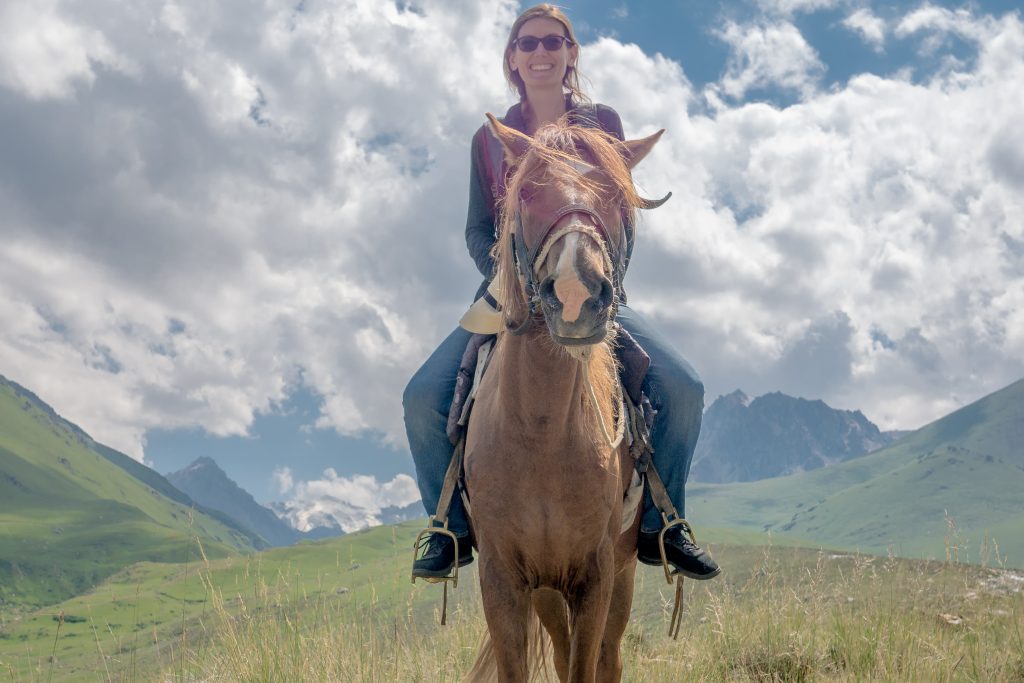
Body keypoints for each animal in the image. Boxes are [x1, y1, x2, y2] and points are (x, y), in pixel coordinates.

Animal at [462, 114, 663, 679]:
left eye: (618, 194)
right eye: (528, 191)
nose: (576, 294)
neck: (541, 430)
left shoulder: (596, 576)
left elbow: (586, 665)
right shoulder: (503, 579)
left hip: (619, 575)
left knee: (608, 658)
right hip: (547, 590)